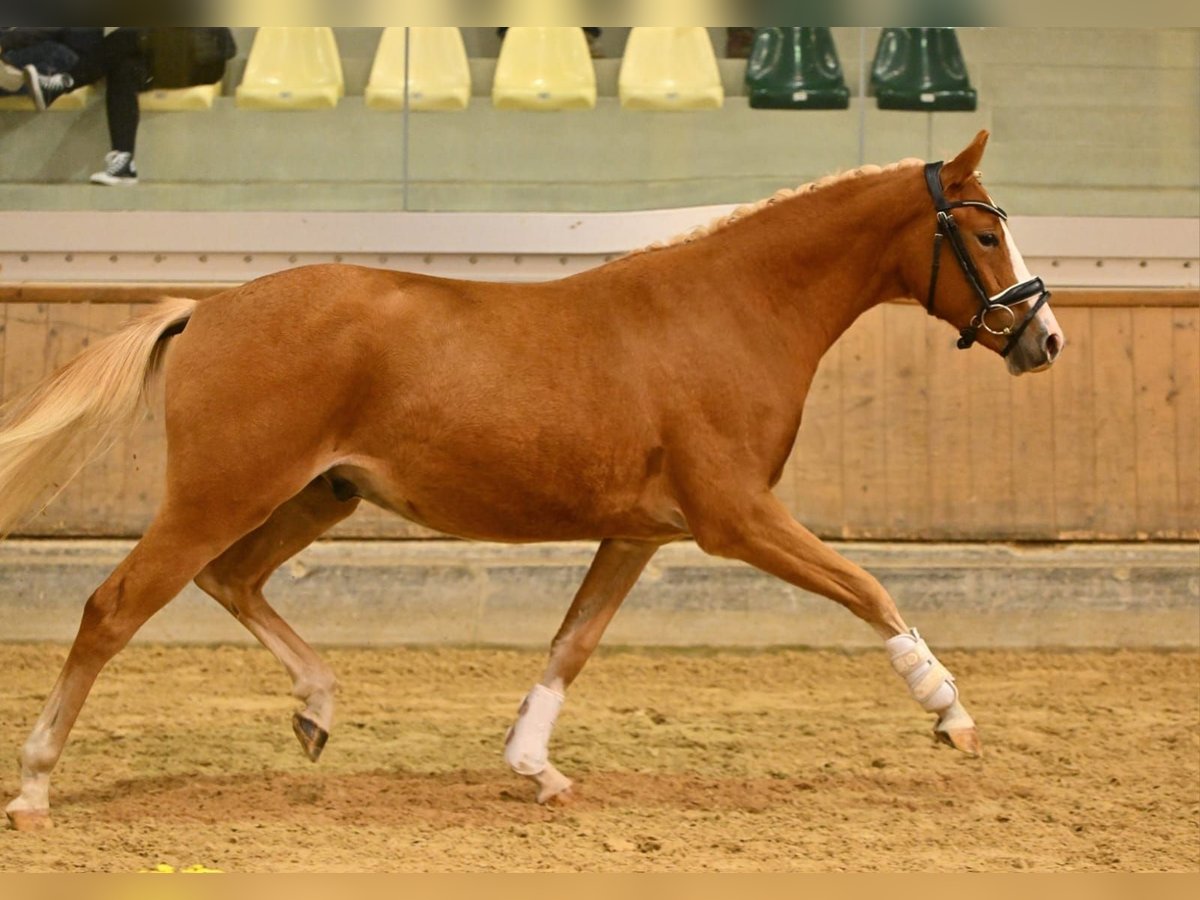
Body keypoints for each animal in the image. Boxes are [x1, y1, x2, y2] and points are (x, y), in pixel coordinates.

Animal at [7, 133, 1060, 830]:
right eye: (983, 235)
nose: (1044, 340)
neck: (733, 310)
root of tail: (207, 309)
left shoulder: (640, 531)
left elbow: (572, 644)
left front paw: (534, 769)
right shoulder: (737, 516)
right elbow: (868, 588)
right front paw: (953, 716)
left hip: (317, 494)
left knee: (232, 579)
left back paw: (316, 710)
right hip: (220, 495)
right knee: (113, 608)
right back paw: (35, 785)